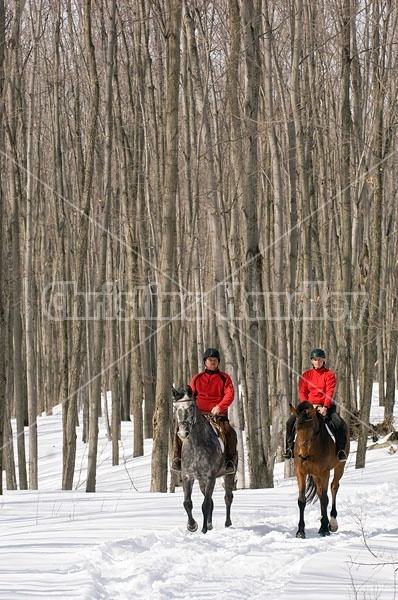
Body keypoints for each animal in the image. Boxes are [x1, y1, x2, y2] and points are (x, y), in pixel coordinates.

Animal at [290, 400, 350, 536]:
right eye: (296, 428)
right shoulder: (300, 472)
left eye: (312, 429)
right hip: (315, 475)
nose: (303, 455)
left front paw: (324, 528)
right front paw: (300, 531)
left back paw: (332, 523)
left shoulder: (324, 472)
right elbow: (302, 500)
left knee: (334, 487)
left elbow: (324, 498)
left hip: (339, 467)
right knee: (319, 491)